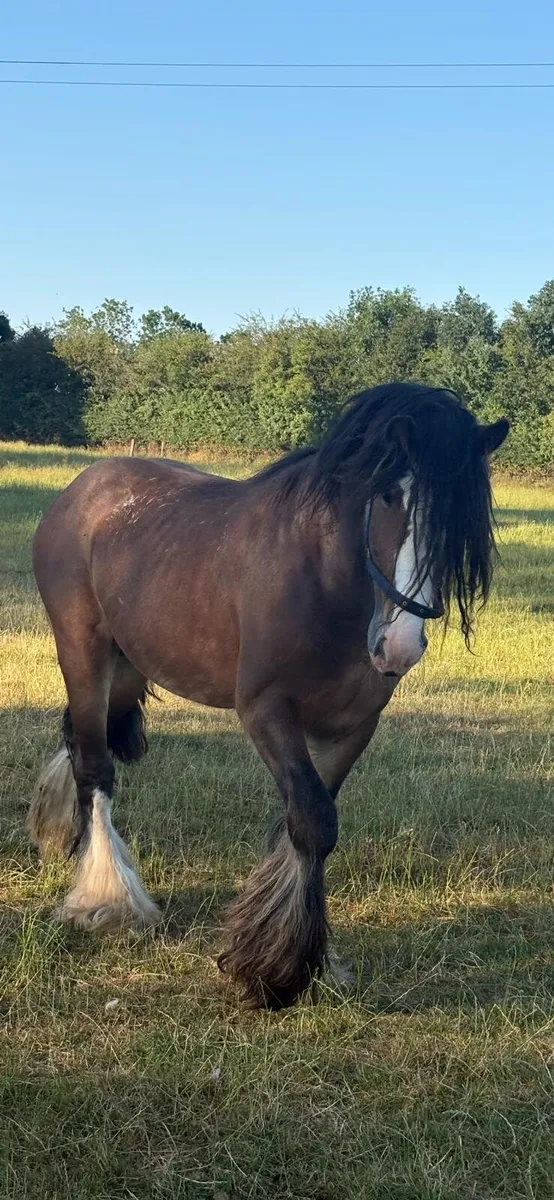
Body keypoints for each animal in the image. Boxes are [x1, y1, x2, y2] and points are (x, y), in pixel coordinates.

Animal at [29, 382, 509, 1008]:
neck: (324, 582)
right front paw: (275, 969)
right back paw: (107, 898)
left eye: (460, 516)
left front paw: (298, 953)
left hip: (129, 666)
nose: (399, 646)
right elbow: (312, 819)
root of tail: (83, 488)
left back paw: (68, 841)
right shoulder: (266, 712)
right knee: (95, 766)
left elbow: (306, 824)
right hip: (84, 654)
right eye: (388, 496)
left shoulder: (352, 727)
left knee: (84, 739)